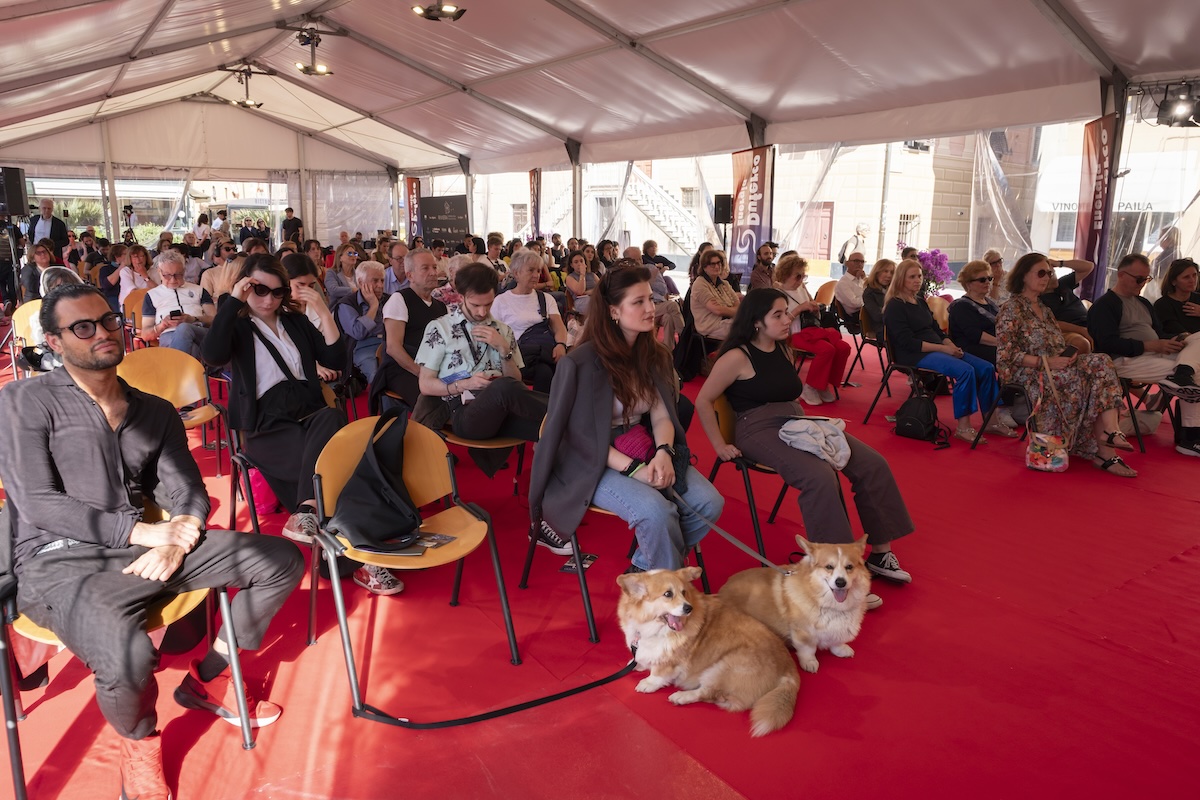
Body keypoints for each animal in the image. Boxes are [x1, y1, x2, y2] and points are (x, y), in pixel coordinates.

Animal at [619, 568, 796, 738]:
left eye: (684, 592)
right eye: (668, 594)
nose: (688, 608)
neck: (650, 626)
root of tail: (789, 667)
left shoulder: (671, 660)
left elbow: (658, 673)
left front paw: (647, 683)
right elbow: (643, 658)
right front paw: (636, 664)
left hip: (725, 666)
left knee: (708, 693)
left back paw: (681, 697)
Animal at [715, 537, 868, 676]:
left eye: (849, 567)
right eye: (829, 567)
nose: (840, 582)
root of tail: (719, 593)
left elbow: (836, 640)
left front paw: (840, 649)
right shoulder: (802, 631)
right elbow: (808, 649)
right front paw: (810, 662)